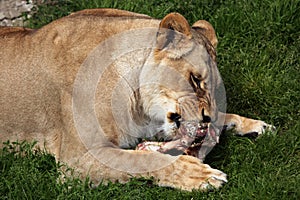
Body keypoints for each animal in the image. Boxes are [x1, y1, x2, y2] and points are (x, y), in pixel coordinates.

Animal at [0, 9, 274, 191]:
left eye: (216, 90)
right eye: (195, 80)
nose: (207, 119)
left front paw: (253, 125)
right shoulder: (76, 161)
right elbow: (140, 159)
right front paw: (198, 174)